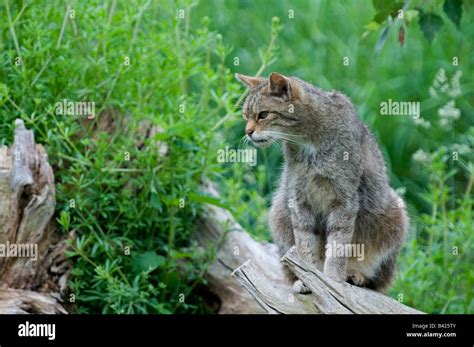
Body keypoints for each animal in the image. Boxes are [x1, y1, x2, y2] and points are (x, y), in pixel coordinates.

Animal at [236, 71, 408, 294]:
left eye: (263, 114)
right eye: (245, 116)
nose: (247, 132)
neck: (308, 143)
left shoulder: (344, 199)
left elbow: (338, 245)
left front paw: (333, 279)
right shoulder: (298, 198)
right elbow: (305, 245)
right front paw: (308, 277)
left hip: (395, 212)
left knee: (378, 282)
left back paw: (356, 275)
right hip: (278, 213)